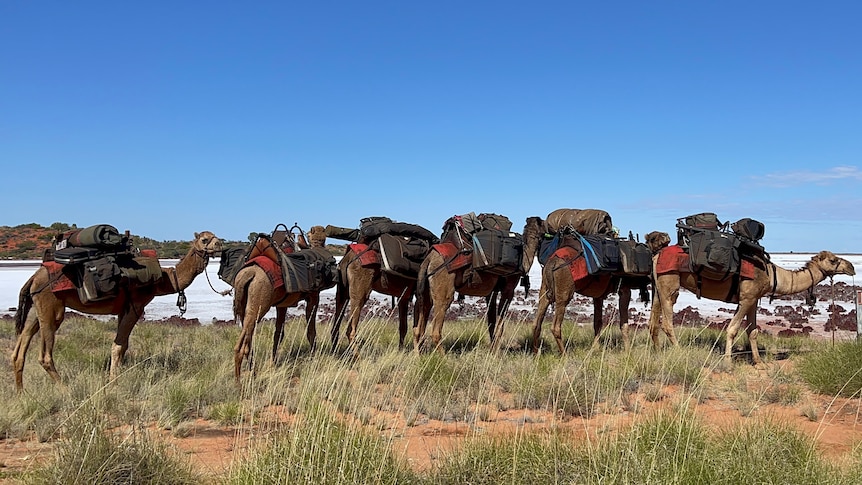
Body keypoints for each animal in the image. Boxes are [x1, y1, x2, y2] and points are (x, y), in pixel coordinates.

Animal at [12, 230, 223, 390]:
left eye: (215, 236)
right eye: (205, 239)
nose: (220, 244)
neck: (164, 278)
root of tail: (34, 277)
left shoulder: (124, 309)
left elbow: (123, 346)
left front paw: (116, 375)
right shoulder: (136, 306)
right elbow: (118, 346)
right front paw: (113, 382)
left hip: (36, 307)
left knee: (20, 347)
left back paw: (21, 393)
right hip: (51, 305)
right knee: (45, 355)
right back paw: (66, 389)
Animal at [233, 225, 334, 380]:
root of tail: (248, 274)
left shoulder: (282, 305)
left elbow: (278, 334)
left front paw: (273, 363)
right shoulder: (313, 297)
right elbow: (311, 331)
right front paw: (314, 359)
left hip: (244, 305)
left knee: (248, 341)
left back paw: (253, 373)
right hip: (259, 304)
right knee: (241, 347)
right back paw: (241, 383)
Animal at [524, 214, 660, 354]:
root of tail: (552, 264)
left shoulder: (598, 296)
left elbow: (597, 323)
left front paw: (596, 349)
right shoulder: (624, 290)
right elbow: (624, 324)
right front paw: (628, 352)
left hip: (545, 289)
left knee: (536, 323)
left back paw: (537, 353)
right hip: (564, 291)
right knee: (555, 326)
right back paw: (564, 354)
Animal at [648, 234, 856, 364]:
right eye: (833, 260)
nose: (852, 267)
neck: (772, 275)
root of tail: (656, 256)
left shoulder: (754, 299)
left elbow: (753, 331)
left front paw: (758, 362)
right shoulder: (746, 298)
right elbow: (732, 329)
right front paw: (728, 362)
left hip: (658, 288)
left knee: (653, 323)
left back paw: (657, 353)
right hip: (669, 284)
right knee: (667, 322)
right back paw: (679, 351)